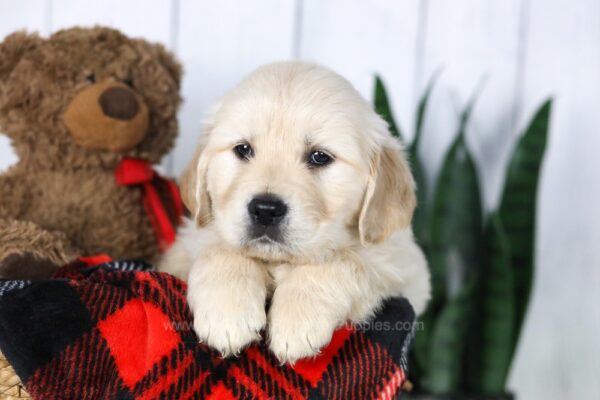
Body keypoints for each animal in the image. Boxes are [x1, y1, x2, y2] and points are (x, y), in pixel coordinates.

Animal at [159, 61, 432, 364]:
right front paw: (226, 313)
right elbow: (219, 250)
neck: (277, 261)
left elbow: (343, 261)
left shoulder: (402, 268)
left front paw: (298, 320)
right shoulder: (187, 245)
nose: (265, 210)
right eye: (243, 149)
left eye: (320, 157)